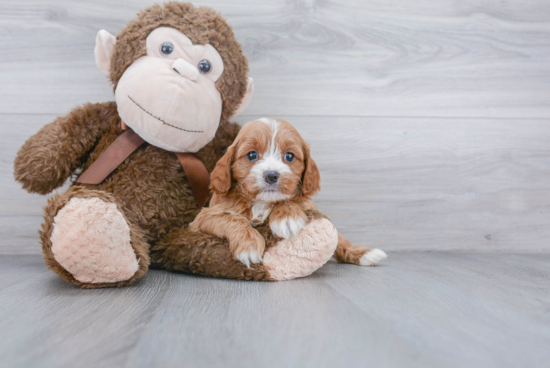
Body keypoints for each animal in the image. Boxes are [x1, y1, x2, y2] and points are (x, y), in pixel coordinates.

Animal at [190, 118, 388, 268]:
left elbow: (336, 234)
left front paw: (287, 217)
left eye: (290, 156)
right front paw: (249, 245)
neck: (262, 202)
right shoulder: (203, 217)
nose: (271, 175)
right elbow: (232, 218)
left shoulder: (309, 206)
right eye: (252, 155)